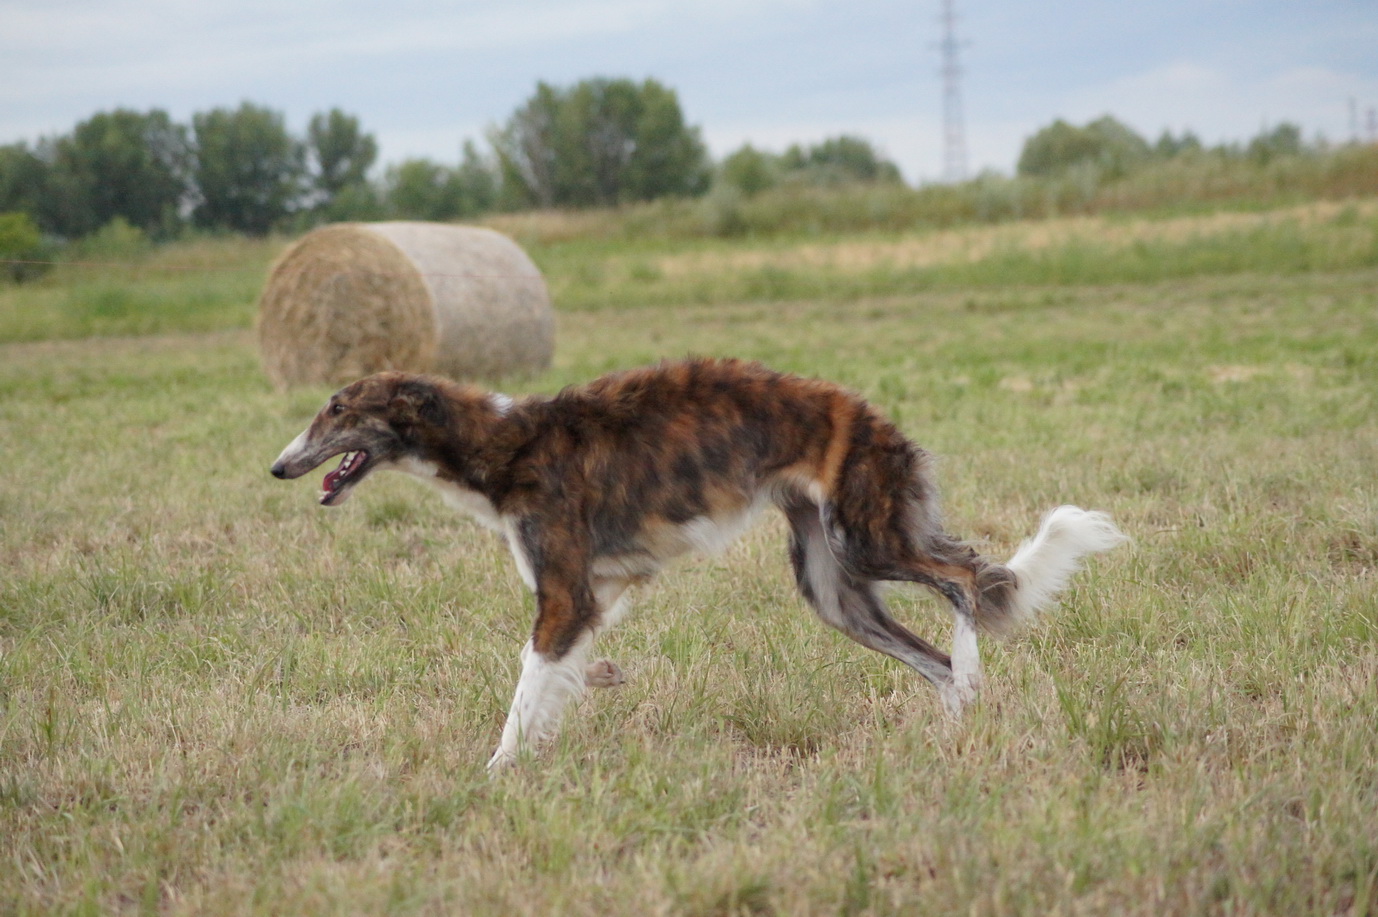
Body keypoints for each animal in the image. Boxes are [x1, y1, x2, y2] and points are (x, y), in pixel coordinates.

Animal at [271, 357, 1125, 769]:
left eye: (338, 411)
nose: (278, 466)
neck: (504, 444)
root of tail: (878, 420)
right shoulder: (598, 590)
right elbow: (560, 675)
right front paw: (590, 692)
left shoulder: (563, 592)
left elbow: (524, 691)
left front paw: (496, 771)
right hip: (832, 586)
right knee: (938, 656)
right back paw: (956, 731)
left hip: (866, 537)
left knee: (964, 582)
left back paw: (975, 675)